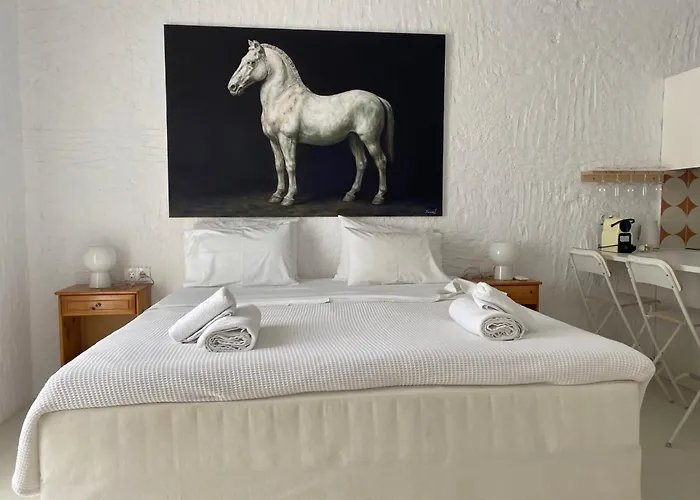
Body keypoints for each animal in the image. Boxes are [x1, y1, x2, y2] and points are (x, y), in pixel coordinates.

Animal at [227, 40, 394, 206]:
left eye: (251, 62)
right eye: (242, 60)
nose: (232, 87)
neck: (282, 98)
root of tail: (377, 98)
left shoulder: (287, 140)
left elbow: (290, 166)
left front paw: (288, 197)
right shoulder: (273, 141)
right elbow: (279, 166)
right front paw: (277, 195)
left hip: (370, 140)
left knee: (381, 161)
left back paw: (379, 197)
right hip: (355, 138)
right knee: (361, 163)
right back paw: (350, 194)